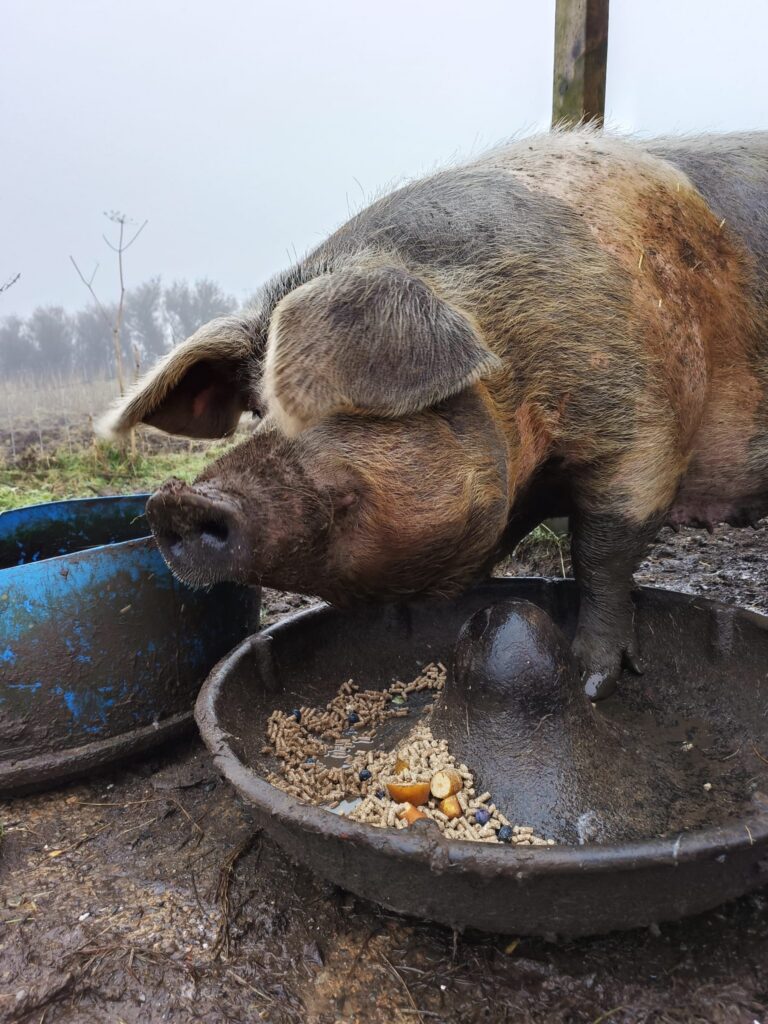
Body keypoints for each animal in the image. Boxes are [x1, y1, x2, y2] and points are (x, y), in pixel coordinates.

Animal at [100, 128, 768, 699]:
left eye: (333, 400)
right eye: (257, 407)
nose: (178, 501)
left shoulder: (644, 426)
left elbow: (603, 551)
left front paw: (592, 682)